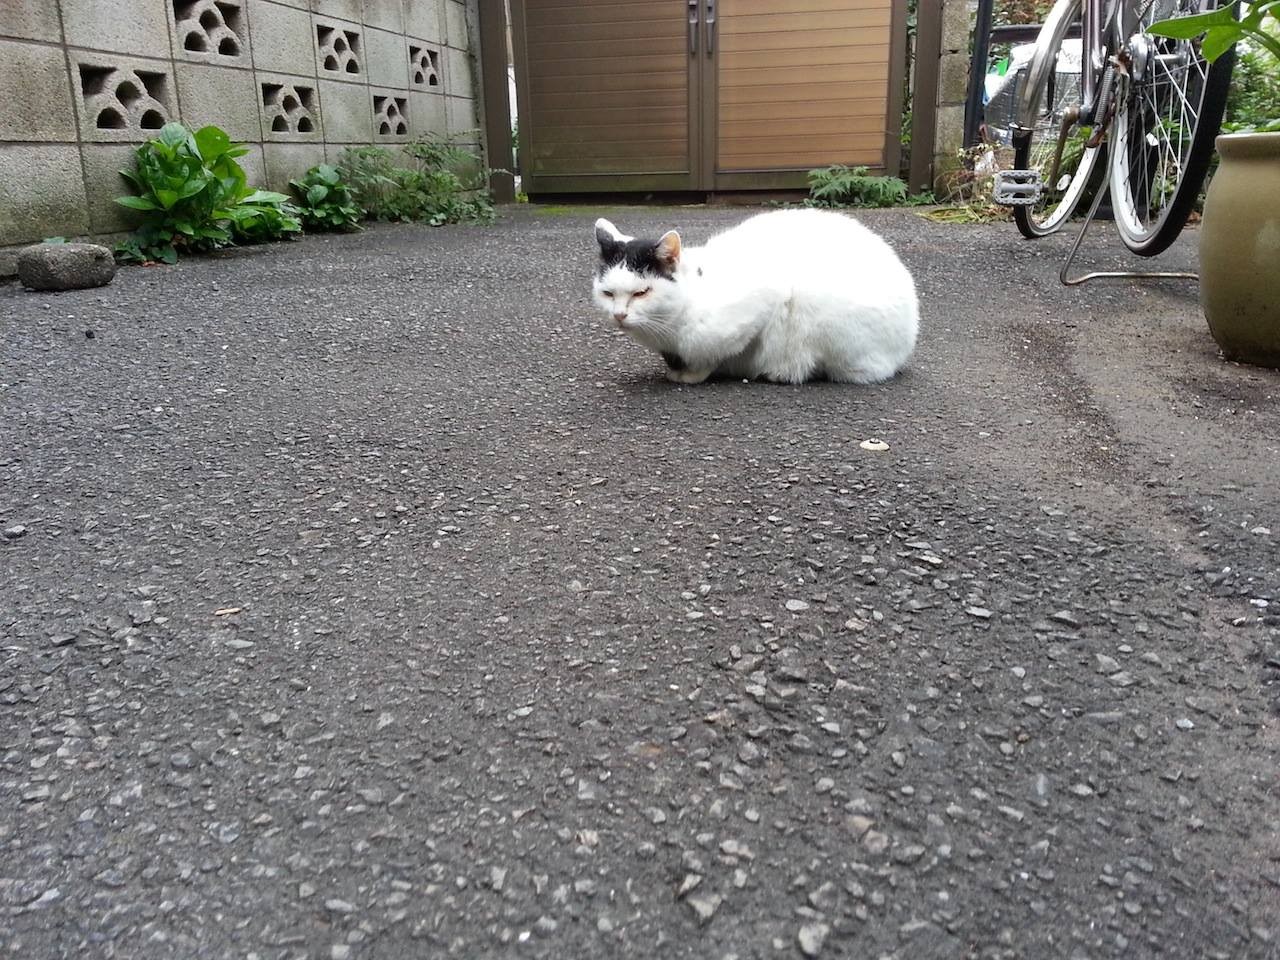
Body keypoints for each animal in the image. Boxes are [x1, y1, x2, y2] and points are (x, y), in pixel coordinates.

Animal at [591, 208, 921, 386]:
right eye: (608, 293)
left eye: (641, 292)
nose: (619, 315)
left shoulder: (761, 303)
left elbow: (719, 353)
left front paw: (693, 375)